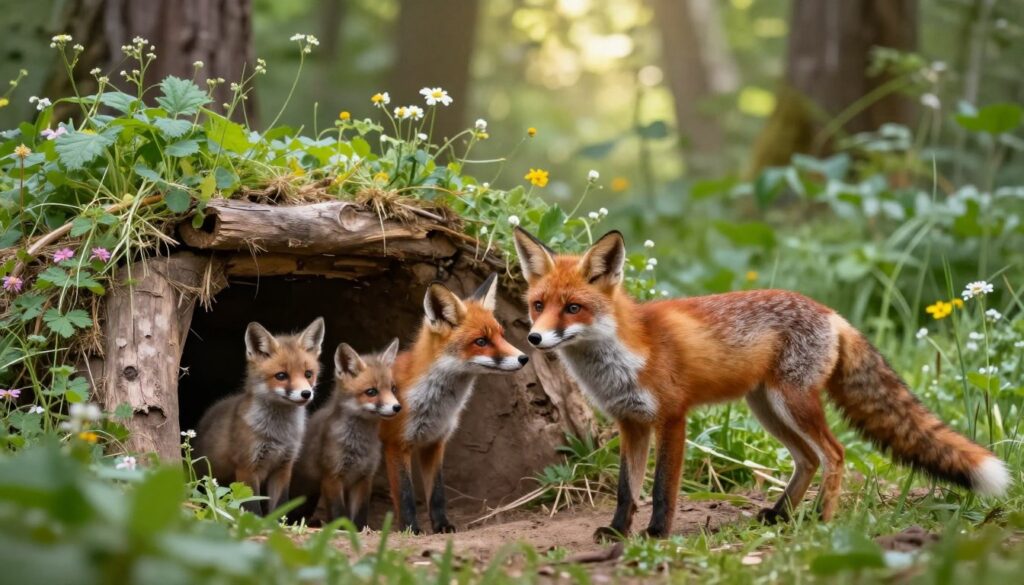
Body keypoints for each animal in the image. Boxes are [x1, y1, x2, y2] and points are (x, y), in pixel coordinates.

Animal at [195, 317, 325, 516]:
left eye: (308, 374)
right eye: (281, 376)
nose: (306, 394)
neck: (278, 434)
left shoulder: (284, 467)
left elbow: (280, 506)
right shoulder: (247, 468)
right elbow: (252, 507)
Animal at [291, 339, 402, 529]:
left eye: (393, 389)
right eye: (371, 392)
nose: (397, 407)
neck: (358, 445)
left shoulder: (364, 478)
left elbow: (359, 514)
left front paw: (359, 530)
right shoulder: (332, 477)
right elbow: (338, 512)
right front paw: (341, 529)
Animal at [379, 274, 529, 534]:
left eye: (501, 335)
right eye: (481, 341)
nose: (524, 358)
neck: (435, 406)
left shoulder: (435, 442)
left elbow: (438, 492)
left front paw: (442, 525)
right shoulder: (396, 443)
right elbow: (406, 494)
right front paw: (410, 529)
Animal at [512, 227, 1011, 540]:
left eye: (573, 308)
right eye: (538, 305)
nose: (534, 339)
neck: (621, 356)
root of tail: (831, 313)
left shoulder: (672, 417)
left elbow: (661, 489)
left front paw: (656, 534)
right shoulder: (630, 422)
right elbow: (625, 489)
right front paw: (618, 531)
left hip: (792, 403)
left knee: (835, 454)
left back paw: (822, 520)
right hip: (766, 408)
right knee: (808, 459)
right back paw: (781, 514)